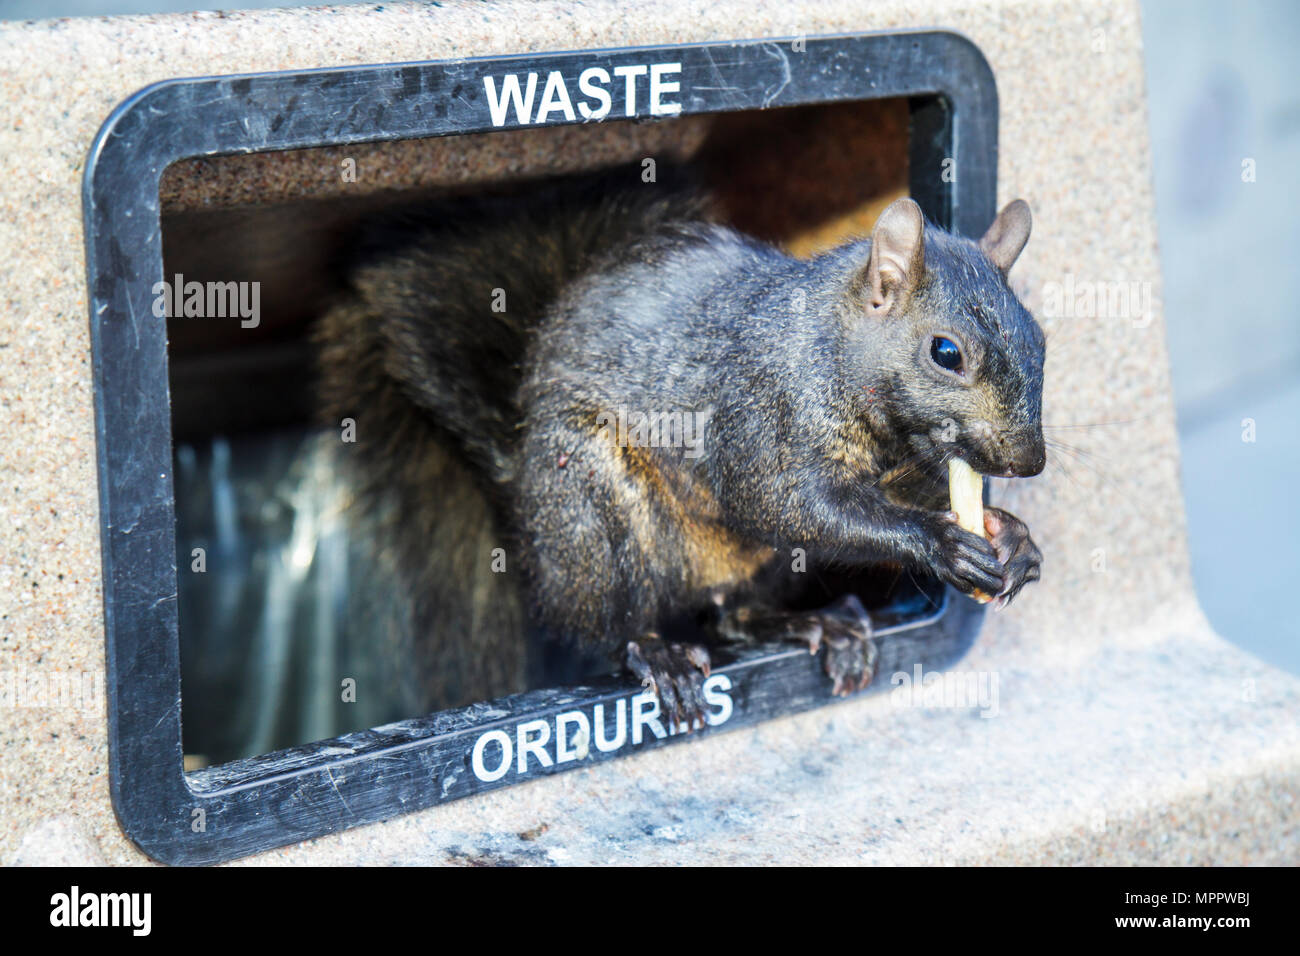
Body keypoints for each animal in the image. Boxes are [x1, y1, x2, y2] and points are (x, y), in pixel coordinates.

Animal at [314, 160, 1045, 728]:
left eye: (1039, 337)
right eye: (945, 353)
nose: (1028, 461)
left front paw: (1014, 537)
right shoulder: (758, 412)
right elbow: (785, 505)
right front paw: (942, 541)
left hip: (762, 567)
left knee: (735, 615)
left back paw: (813, 625)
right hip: (589, 513)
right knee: (604, 626)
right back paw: (653, 652)